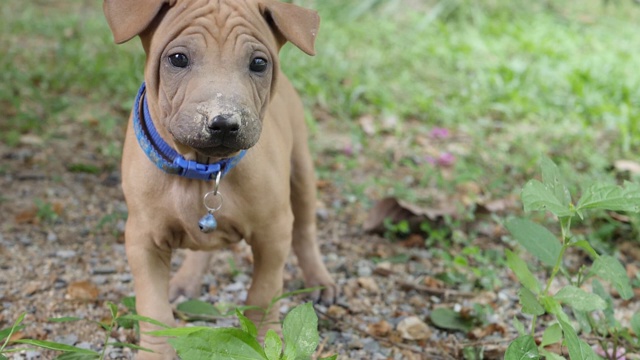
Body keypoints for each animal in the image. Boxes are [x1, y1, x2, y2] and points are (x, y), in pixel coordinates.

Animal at [102, 0, 338, 358]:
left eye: (259, 63)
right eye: (177, 59)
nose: (224, 122)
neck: (202, 169)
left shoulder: (273, 232)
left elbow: (263, 295)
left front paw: (261, 343)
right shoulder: (143, 239)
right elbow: (153, 309)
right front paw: (156, 351)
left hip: (301, 172)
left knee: (305, 231)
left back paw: (319, 279)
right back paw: (187, 279)